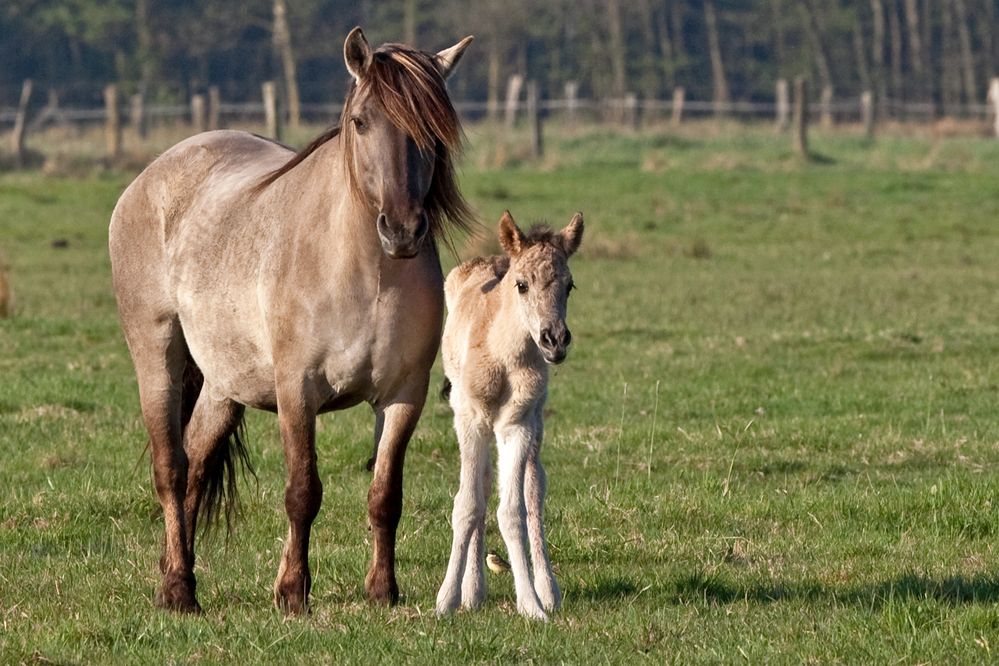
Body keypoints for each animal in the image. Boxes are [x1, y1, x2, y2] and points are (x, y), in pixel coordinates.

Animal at [107, 29, 474, 612]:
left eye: (433, 129)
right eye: (361, 121)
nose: (401, 230)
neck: (366, 274)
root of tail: (150, 177)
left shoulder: (403, 396)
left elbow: (385, 494)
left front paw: (382, 590)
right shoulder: (297, 391)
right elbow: (303, 492)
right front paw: (293, 591)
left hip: (224, 382)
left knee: (194, 466)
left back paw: (175, 573)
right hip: (156, 357)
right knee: (171, 469)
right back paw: (179, 590)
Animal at [434, 210, 584, 620]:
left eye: (569, 285)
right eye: (521, 284)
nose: (554, 340)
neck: (503, 356)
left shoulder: (517, 425)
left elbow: (513, 510)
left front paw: (531, 604)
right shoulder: (470, 420)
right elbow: (467, 504)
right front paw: (447, 599)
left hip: (536, 424)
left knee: (534, 489)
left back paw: (547, 589)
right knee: (483, 485)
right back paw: (473, 591)